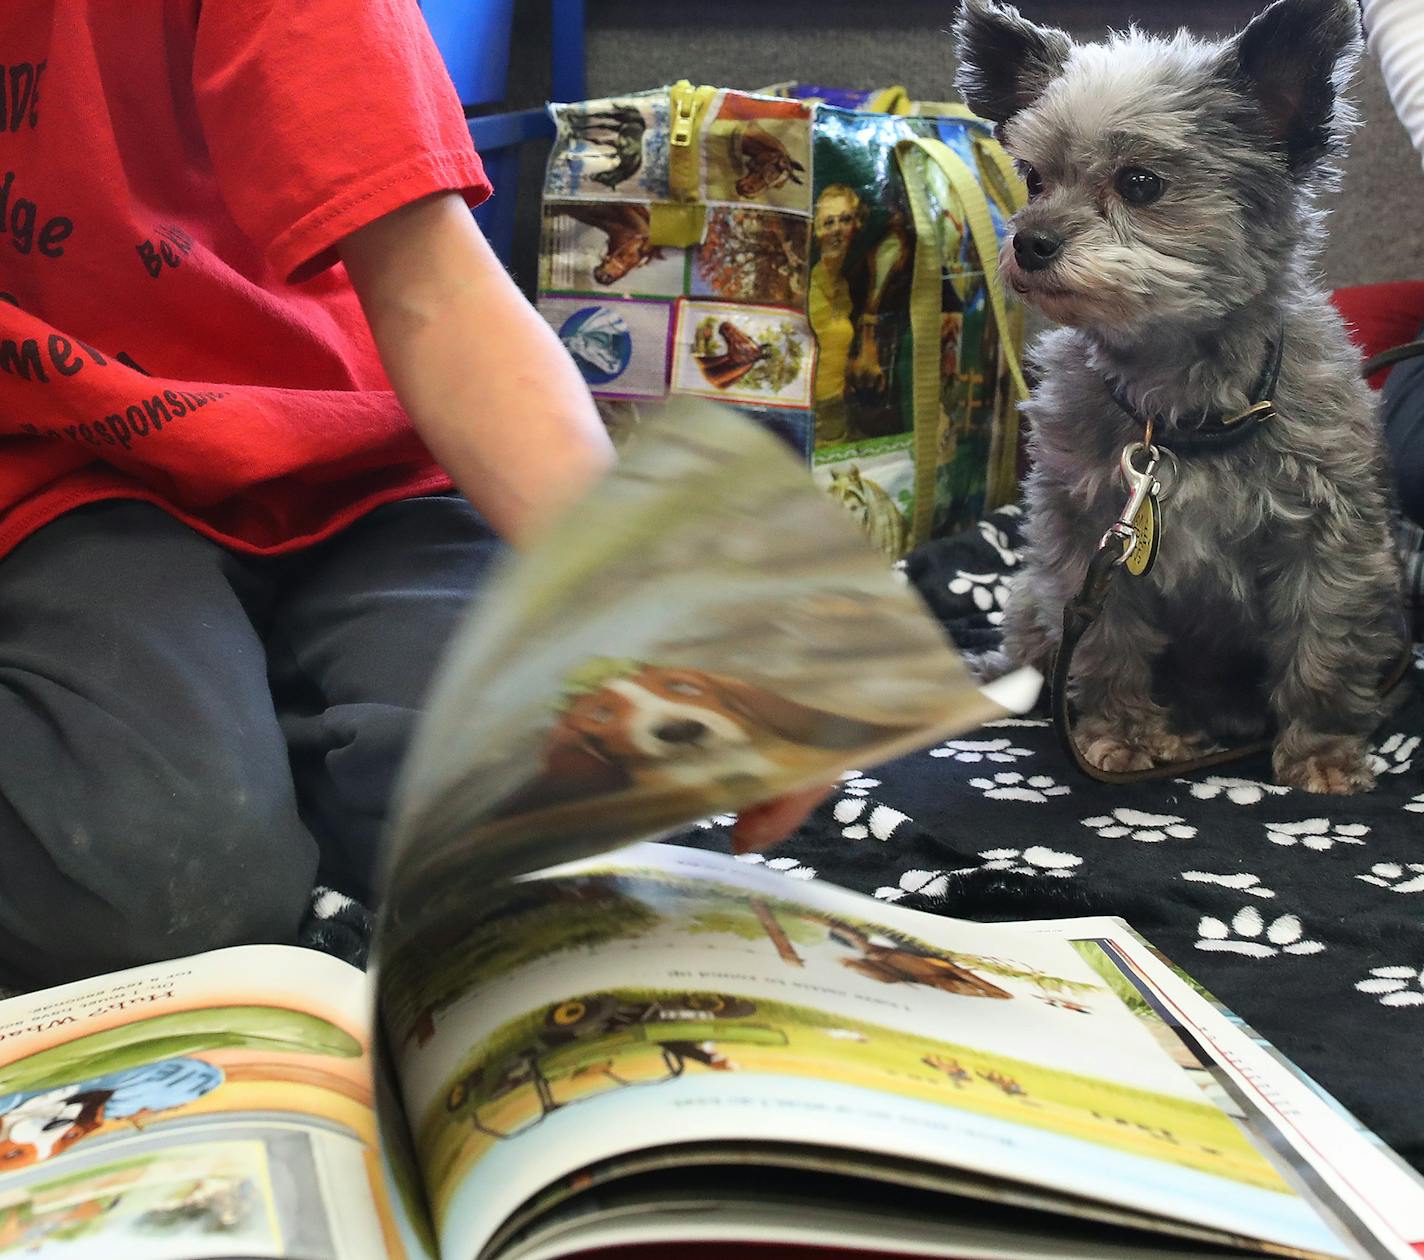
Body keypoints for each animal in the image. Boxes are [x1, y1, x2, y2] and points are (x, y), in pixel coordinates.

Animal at [956, 0, 1401, 785]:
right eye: (1034, 178)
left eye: (1139, 183)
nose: (1029, 241)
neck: (1178, 413)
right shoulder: (1087, 544)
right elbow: (1109, 649)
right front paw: (1124, 738)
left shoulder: (1330, 545)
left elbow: (1322, 652)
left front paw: (1322, 752)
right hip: (1037, 597)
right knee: (1034, 653)